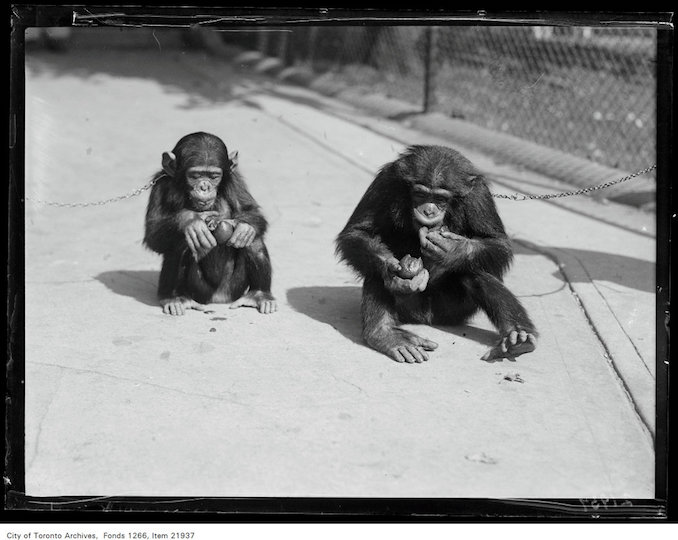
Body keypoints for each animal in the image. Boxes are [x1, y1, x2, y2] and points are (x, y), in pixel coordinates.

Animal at [145, 131, 278, 314]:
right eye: (195, 176)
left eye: (214, 176)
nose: (204, 187)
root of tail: (218, 299)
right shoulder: (159, 185)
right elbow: (153, 233)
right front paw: (191, 221)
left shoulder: (235, 180)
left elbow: (250, 211)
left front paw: (241, 228)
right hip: (199, 290)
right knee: (181, 242)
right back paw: (175, 298)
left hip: (234, 287)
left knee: (254, 238)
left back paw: (259, 294)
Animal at [338, 143, 540, 362]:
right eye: (421, 194)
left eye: (440, 198)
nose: (429, 210)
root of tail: (425, 318)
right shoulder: (385, 182)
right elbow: (358, 232)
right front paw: (394, 273)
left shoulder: (479, 195)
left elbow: (497, 242)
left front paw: (453, 250)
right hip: (408, 308)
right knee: (375, 268)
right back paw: (386, 334)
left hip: (452, 311)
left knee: (475, 270)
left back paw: (517, 338)